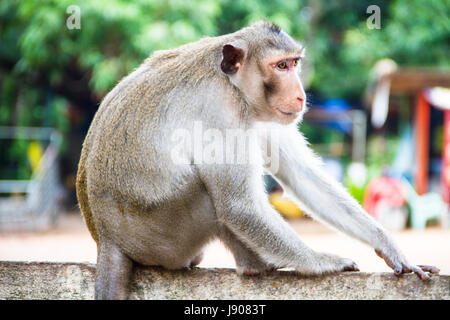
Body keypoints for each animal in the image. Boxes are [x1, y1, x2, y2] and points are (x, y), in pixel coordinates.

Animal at [76, 21, 440, 298]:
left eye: (294, 63)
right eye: (280, 66)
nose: (300, 95)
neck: (232, 84)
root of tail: (106, 239)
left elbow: (302, 176)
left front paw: (390, 247)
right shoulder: (220, 113)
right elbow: (238, 206)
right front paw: (320, 261)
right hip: (163, 237)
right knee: (209, 194)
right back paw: (257, 265)